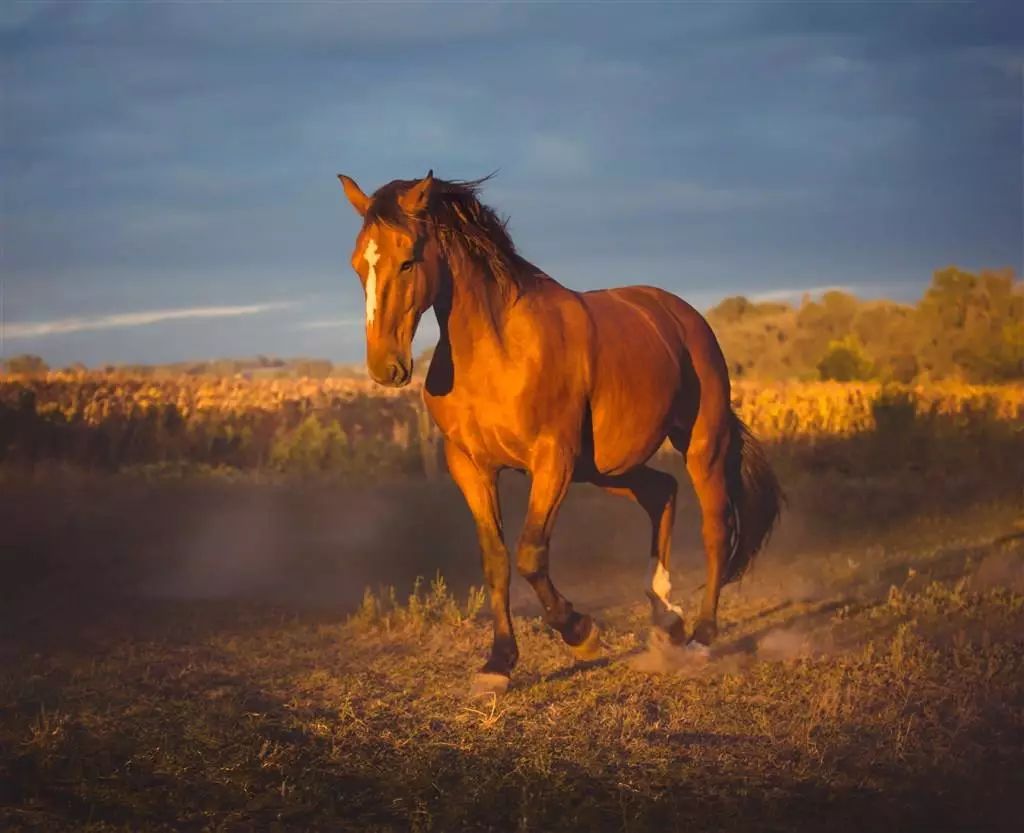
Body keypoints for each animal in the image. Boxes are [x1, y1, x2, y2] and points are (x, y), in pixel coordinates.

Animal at [337, 169, 782, 696]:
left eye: (407, 260)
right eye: (357, 264)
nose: (385, 367)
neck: (498, 350)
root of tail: (684, 317)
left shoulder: (552, 460)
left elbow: (530, 553)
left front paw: (581, 634)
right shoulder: (470, 466)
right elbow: (496, 559)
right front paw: (498, 664)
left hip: (700, 445)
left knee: (716, 528)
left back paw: (700, 636)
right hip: (607, 468)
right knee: (662, 493)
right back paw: (666, 618)